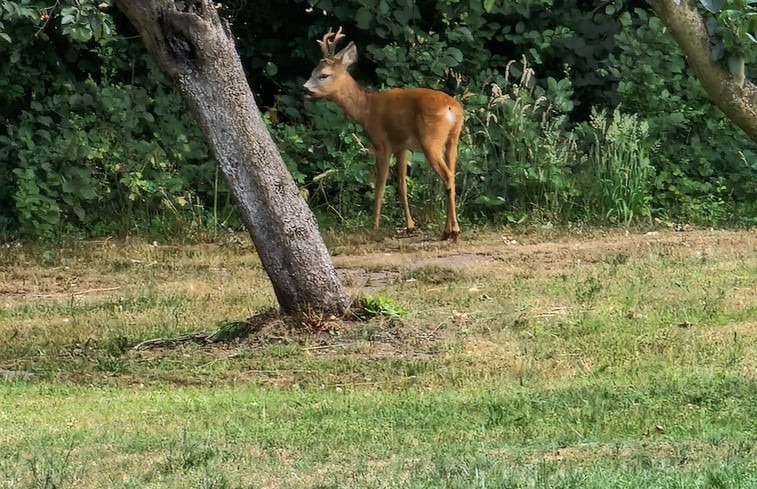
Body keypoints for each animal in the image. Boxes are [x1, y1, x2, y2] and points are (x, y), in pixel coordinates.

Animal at [302, 26, 460, 240]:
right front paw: (410, 226)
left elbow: (380, 186)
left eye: (324, 75)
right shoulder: (402, 146)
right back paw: (449, 229)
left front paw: (374, 225)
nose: (305, 89)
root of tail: (451, 108)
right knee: (452, 175)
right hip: (452, 140)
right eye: (312, 72)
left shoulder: (381, 143)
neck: (366, 108)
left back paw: (452, 231)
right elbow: (402, 185)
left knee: (447, 176)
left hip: (431, 140)